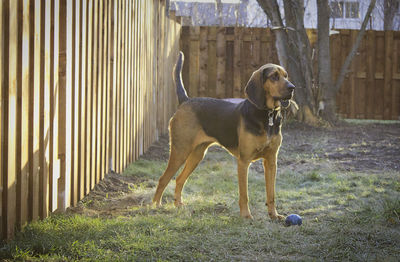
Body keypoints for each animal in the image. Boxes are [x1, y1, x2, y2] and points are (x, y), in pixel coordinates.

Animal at [152, 52, 296, 220]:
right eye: (274, 76)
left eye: (286, 76)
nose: (292, 88)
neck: (267, 115)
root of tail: (186, 101)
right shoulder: (244, 161)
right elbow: (244, 195)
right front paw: (246, 216)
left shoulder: (271, 161)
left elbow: (271, 194)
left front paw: (274, 215)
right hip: (180, 151)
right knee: (163, 179)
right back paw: (155, 206)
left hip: (197, 155)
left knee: (180, 179)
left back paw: (178, 204)